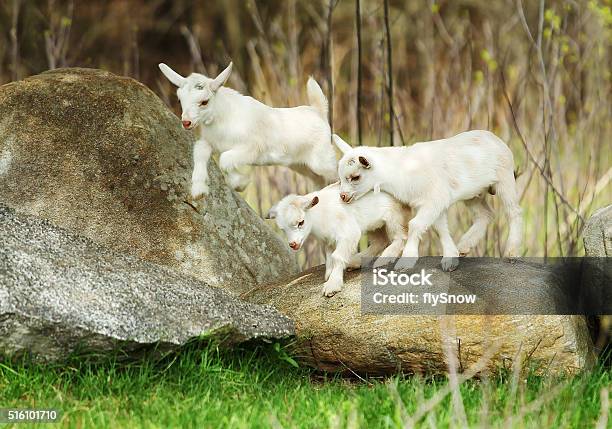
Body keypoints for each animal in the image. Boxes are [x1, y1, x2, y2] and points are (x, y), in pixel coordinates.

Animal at [158, 61, 338, 199]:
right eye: (180, 99)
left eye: (204, 101)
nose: (186, 122)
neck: (222, 118)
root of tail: (318, 111)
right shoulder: (209, 142)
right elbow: (200, 153)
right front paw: (199, 190)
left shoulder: (251, 148)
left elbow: (224, 159)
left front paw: (240, 183)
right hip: (301, 165)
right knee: (319, 180)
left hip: (322, 160)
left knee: (335, 171)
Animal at [270, 182, 408, 296]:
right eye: (283, 229)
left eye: (301, 222)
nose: (293, 244)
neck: (321, 212)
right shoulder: (328, 240)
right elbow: (329, 256)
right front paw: (329, 274)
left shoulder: (349, 233)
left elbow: (337, 256)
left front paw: (332, 285)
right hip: (374, 225)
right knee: (380, 241)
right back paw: (355, 262)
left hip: (394, 215)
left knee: (401, 236)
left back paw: (384, 259)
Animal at [332, 130, 524, 270]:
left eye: (355, 177)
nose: (343, 196)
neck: (401, 168)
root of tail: (494, 137)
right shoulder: (435, 203)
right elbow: (440, 229)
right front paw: (450, 258)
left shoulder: (435, 199)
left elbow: (415, 225)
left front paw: (406, 261)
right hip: (473, 193)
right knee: (485, 214)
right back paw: (464, 246)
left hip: (505, 178)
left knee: (513, 212)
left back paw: (511, 252)